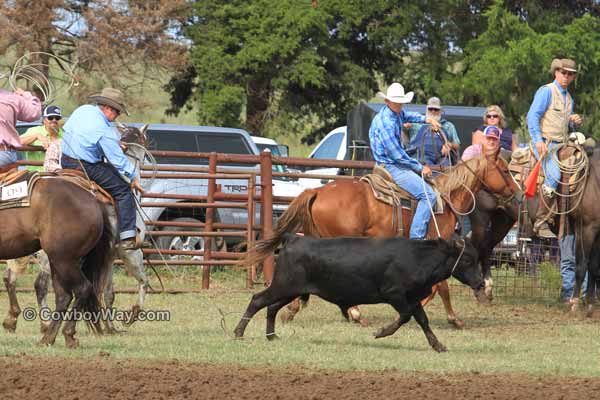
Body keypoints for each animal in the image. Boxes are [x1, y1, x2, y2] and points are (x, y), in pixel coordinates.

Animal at [244, 155, 520, 326]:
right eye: (505, 170)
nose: (517, 193)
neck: (446, 197)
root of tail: (317, 190)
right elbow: (441, 287)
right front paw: (453, 319)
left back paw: (294, 310)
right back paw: (355, 313)